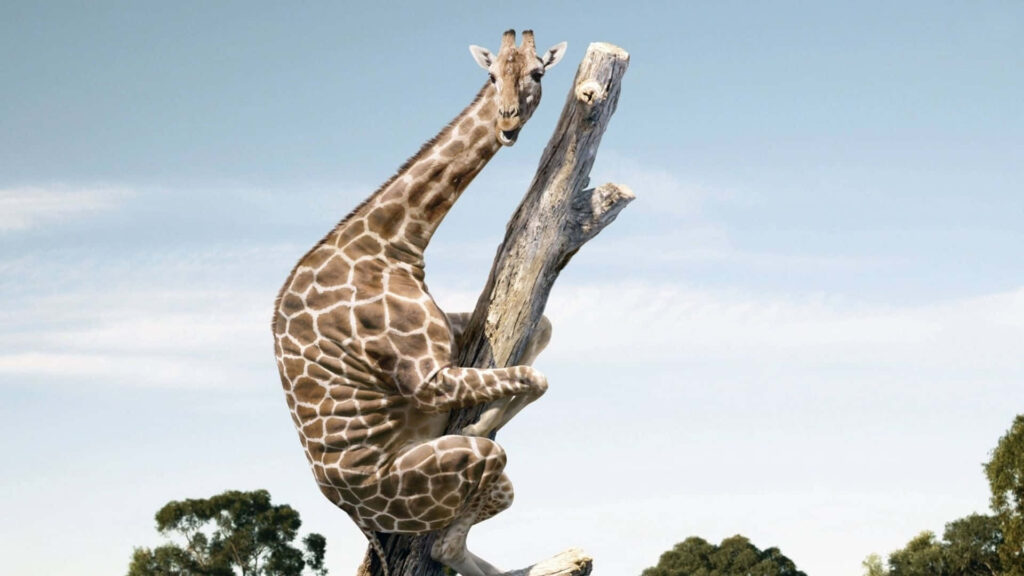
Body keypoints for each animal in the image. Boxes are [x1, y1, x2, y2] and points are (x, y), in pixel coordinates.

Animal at [273, 30, 567, 576]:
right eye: (490, 75)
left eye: (538, 72)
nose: (508, 122)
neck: (392, 241)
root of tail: (356, 514)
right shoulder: (429, 380)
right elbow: (535, 378)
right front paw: (482, 420)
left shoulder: (457, 334)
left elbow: (542, 333)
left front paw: (487, 415)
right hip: (458, 470)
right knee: (448, 539)